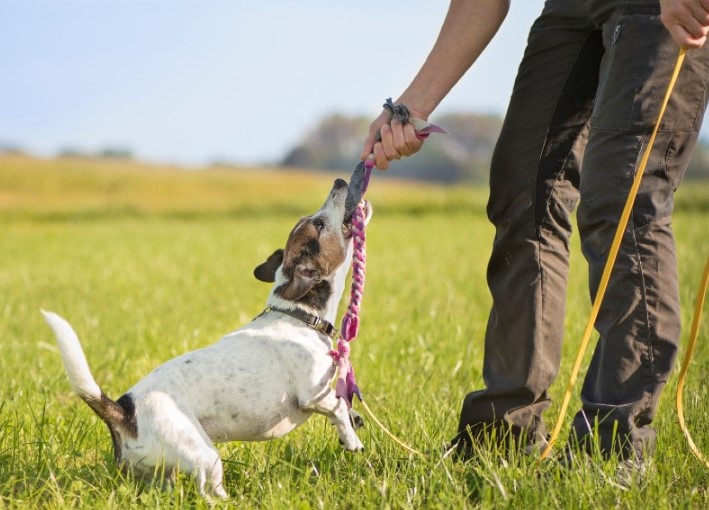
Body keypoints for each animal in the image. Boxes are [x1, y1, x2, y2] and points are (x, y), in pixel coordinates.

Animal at [42, 178, 370, 498]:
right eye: (318, 224)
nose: (339, 181)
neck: (298, 315)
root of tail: (124, 411)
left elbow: (345, 403)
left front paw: (354, 421)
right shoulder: (313, 394)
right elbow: (338, 407)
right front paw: (351, 438)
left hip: (160, 472)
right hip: (204, 456)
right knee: (209, 493)